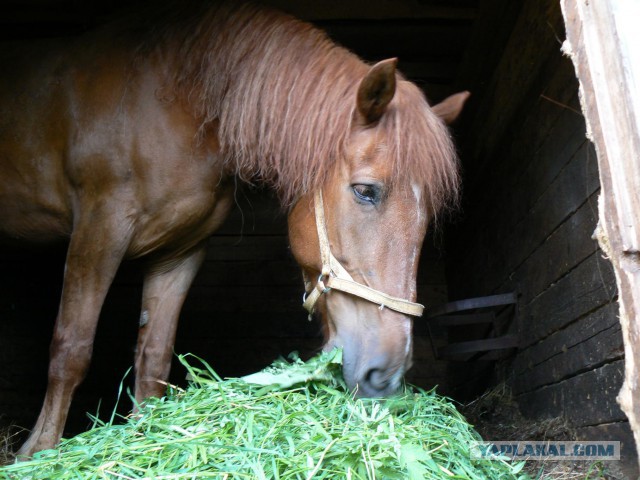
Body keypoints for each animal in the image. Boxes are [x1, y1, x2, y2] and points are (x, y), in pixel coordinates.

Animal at [0, 0, 470, 458]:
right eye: (366, 191)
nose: (386, 374)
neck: (174, 104)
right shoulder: (98, 229)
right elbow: (71, 347)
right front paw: (37, 452)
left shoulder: (180, 253)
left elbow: (153, 358)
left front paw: (145, 436)